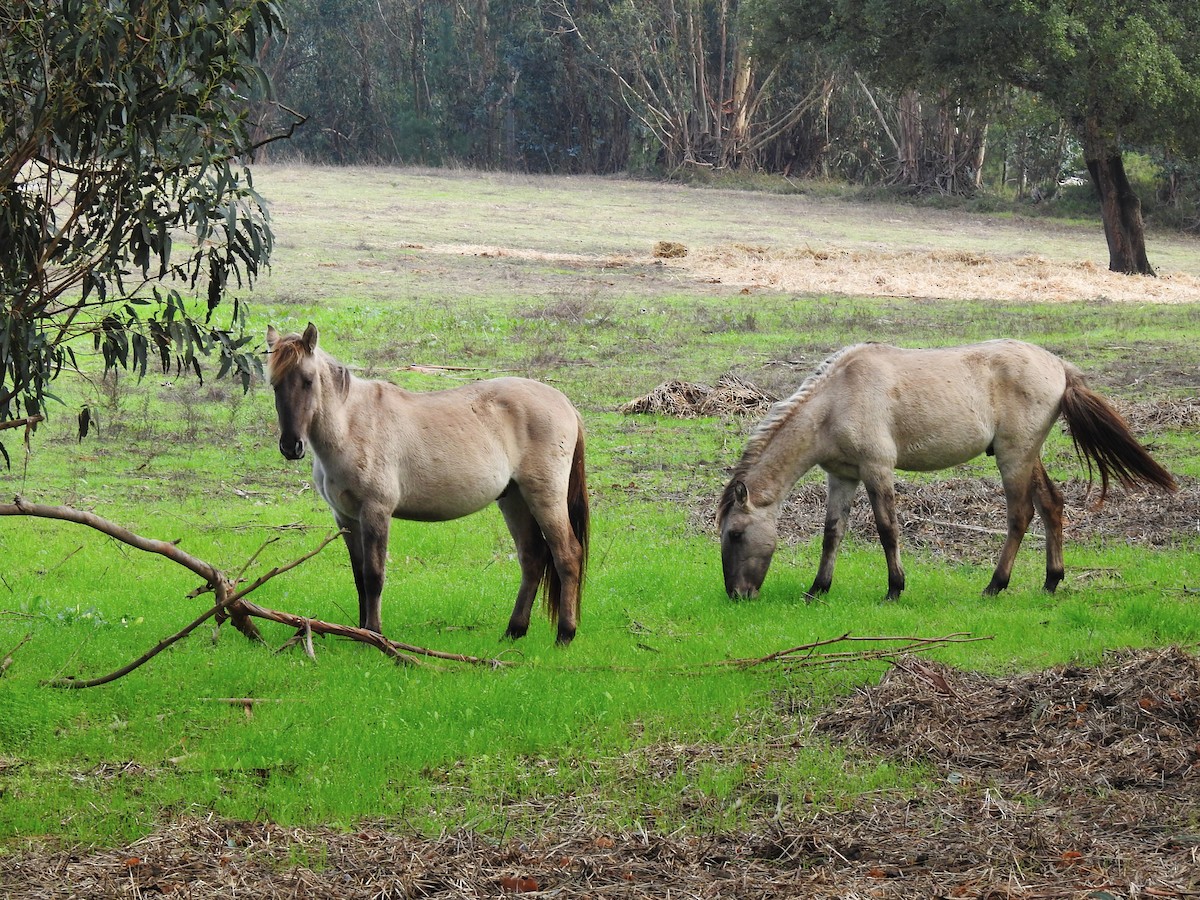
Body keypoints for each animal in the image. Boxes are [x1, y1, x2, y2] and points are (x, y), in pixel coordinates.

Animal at [266, 323, 589, 645]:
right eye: (274, 384)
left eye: (308, 381)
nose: (291, 446)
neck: (352, 425)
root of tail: (565, 404)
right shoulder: (346, 517)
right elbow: (359, 577)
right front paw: (358, 633)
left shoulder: (375, 511)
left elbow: (373, 575)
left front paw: (374, 634)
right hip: (514, 499)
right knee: (532, 558)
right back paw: (514, 630)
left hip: (545, 496)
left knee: (567, 555)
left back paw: (565, 634)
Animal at [717, 340, 1177, 601]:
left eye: (736, 534)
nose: (736, 595)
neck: (837, 398)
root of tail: (1059, 366)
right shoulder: (843, 475)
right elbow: (833, 534)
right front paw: (817, 590)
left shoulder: (876, 468)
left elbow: (887, 529)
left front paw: (895, 589)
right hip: (1029, 456)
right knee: (1052, 506)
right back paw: (1051, 581)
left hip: (1014, 457)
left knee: (1020, 515)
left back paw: (995, 585)